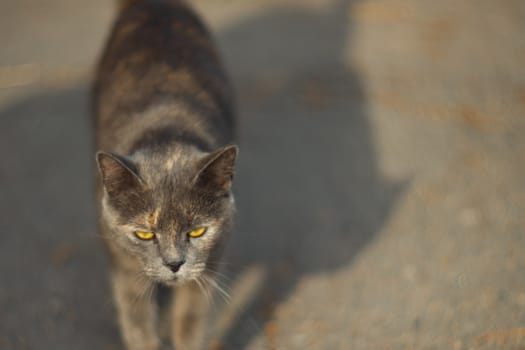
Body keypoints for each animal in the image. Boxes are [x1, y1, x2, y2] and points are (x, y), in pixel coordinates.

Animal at [91, 1, 236, 348]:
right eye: (145, 234)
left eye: (197, 232)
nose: (174, 264)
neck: (165, 130)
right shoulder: (123, 264)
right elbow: (137, 322)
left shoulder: (209, 262)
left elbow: (190, 323)